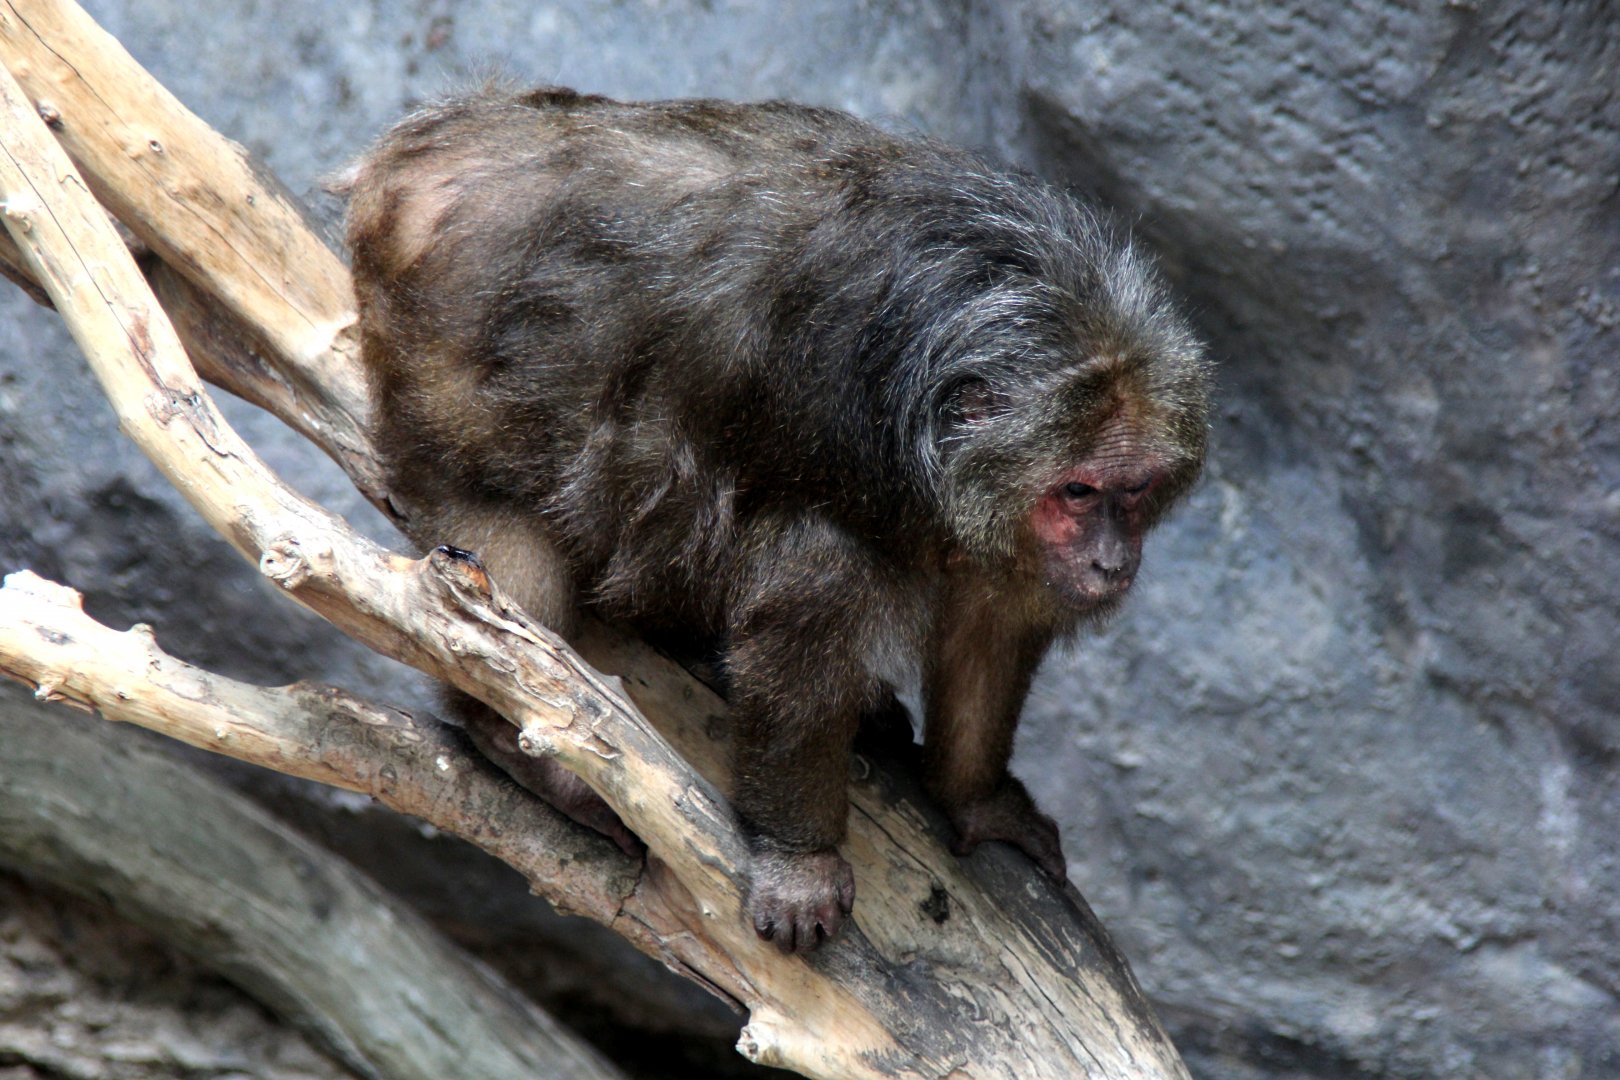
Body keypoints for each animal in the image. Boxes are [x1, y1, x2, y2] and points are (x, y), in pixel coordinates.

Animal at [345, 85, 1210, 954]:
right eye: (1078, 494)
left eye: (1133, 491)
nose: (1112, 561)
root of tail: (441, 141)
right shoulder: (838, 419)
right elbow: (812, 604)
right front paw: (800, 858)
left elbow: (991, 620)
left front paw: (974, 794)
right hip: (434, 351)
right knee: (504, 530)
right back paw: (509, 728)